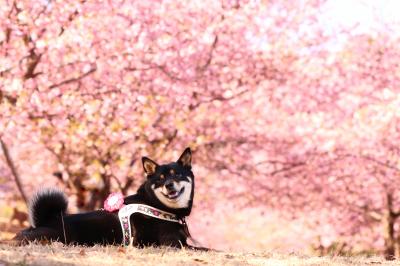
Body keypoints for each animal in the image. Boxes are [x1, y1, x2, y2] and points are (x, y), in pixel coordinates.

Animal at [13, 148, 206, 249]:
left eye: (177, 174)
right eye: (160, 179)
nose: (169, 185)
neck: (156, 205)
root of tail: (44, 221)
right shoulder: (172, 244)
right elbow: (205, 248)